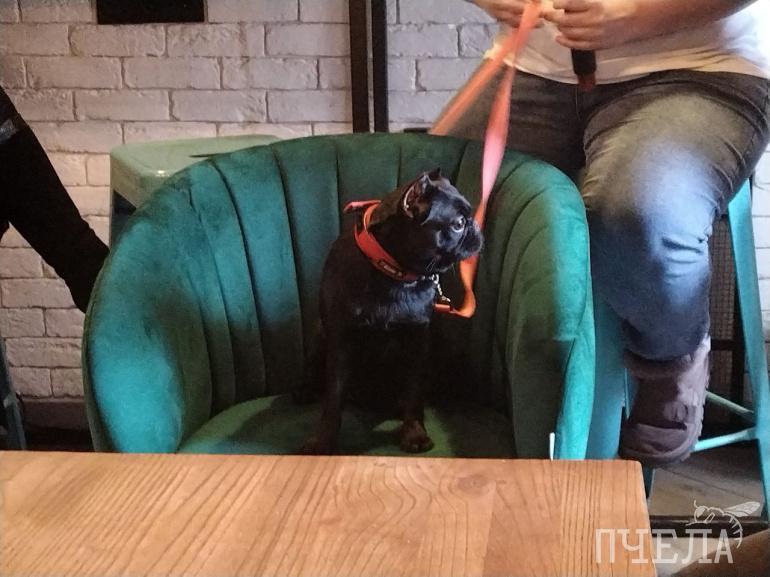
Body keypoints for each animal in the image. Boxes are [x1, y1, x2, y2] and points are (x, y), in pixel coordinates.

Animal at [298, 168, 483, 455]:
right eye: (458, 224)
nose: (476, 227)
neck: (393, 272)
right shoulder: (340, 342)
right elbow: (333, 397)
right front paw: (323, 441)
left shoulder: (418, 342)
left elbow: (413, 392)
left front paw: (414, 433)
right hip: (320, 335)